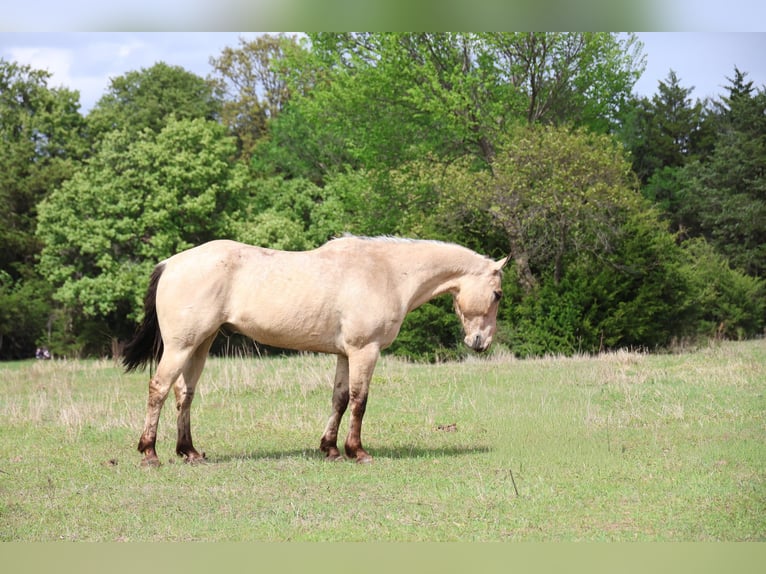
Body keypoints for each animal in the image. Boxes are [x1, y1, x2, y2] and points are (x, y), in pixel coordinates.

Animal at [123, 235, 508, 466]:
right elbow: (359, 401)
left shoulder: (344, 354)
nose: (480, 343)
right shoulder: (364, 351)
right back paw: (150, 453)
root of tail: (171, 263)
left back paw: (189, 451)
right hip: (180, 346)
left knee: (184, 393)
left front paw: (330, 448)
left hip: (200, 345)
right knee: (159, 389)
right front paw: (357, 451)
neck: (386, 271)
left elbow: (339, 399)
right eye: (498, 294)